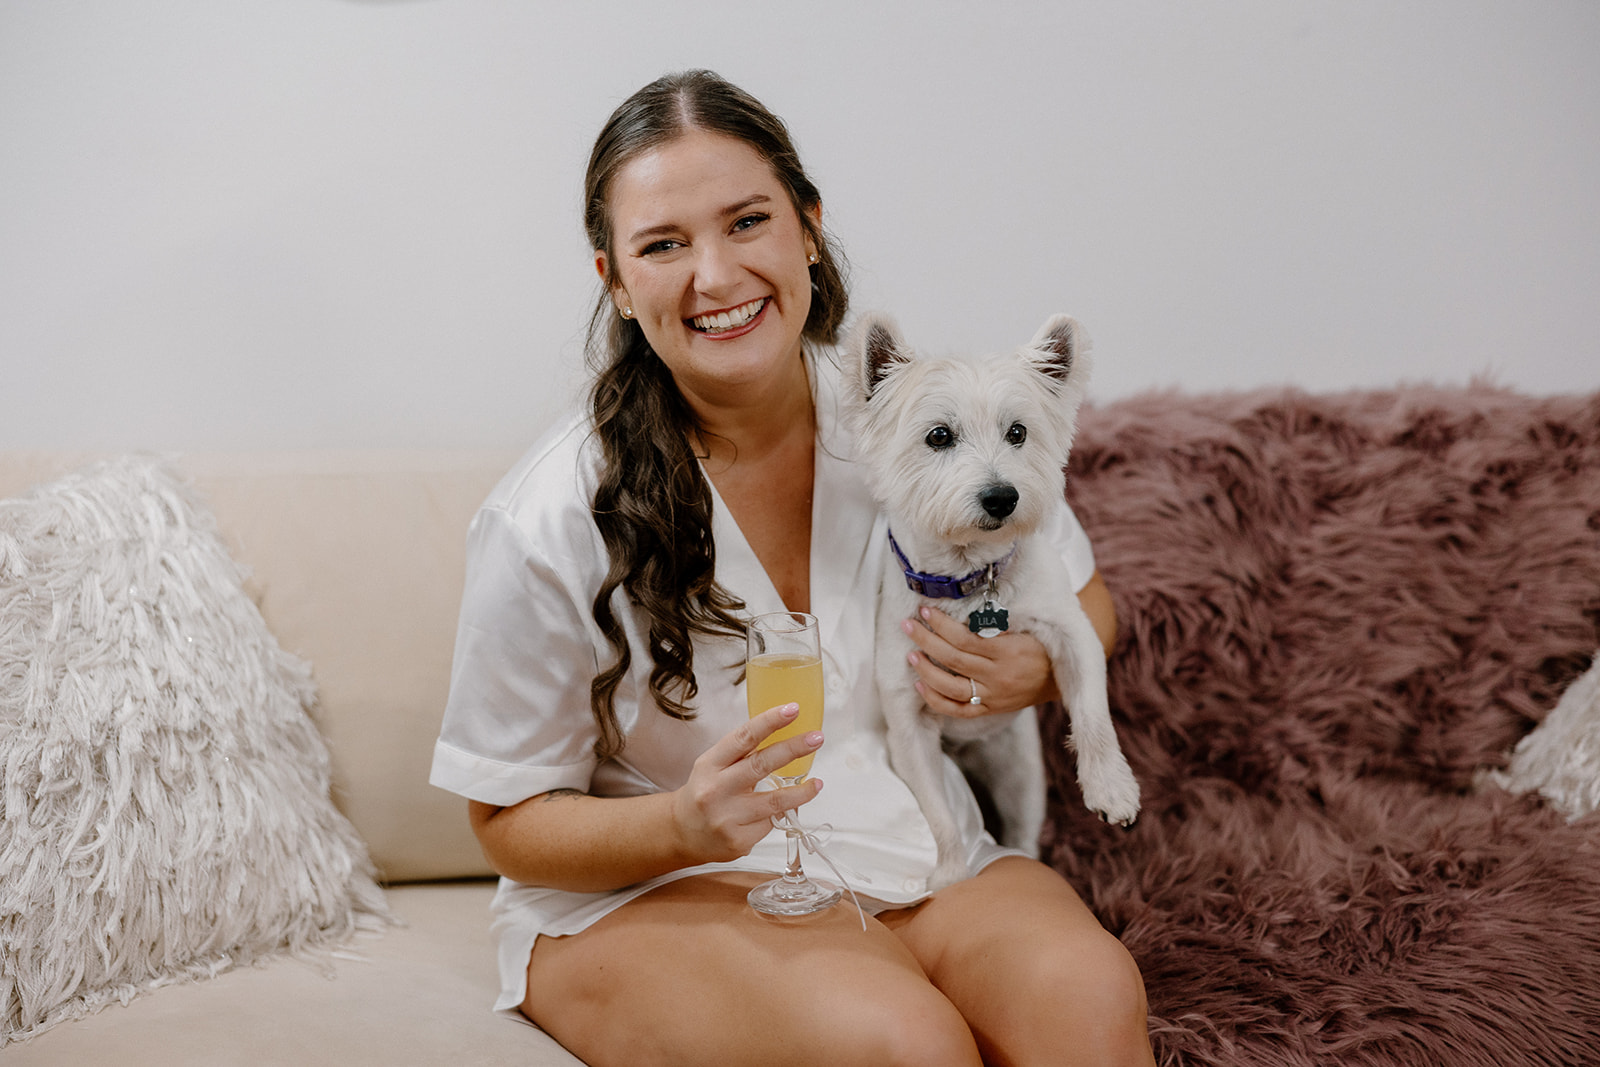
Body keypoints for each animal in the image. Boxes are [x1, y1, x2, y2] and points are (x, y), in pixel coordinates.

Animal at [844, 310, 1145, 895]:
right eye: (939, 435)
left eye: (1018, 433)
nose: (1002, 497)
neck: (971, 579)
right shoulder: (907, 723)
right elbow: (939, 816)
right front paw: (951, 874)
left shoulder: (1073, 633)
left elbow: (1093, 715)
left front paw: (1111, 788)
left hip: (1019, 769)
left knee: (1024, 828)